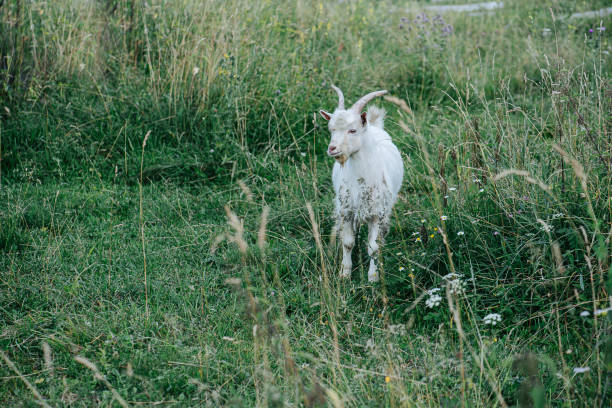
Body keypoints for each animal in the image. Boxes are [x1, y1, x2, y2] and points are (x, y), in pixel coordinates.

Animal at [318, 85, 404, 284]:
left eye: (352, 130)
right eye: (331, 129)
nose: (332, 148)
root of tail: (373, 125)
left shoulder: (377, 213)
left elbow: (373, 247)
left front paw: (373, 277)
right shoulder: (346, 210)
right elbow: (348, 242)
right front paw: (345, 273)